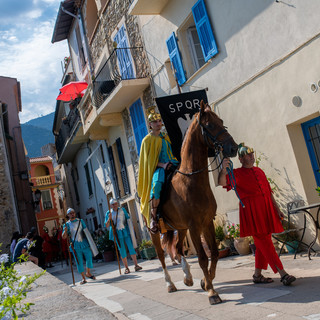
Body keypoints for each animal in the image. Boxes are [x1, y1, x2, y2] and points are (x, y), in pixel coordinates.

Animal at [149, 100, 238, 304]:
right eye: (210, 125)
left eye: (221, 122)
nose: (233, 148)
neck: (192, 180)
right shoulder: (194, 226)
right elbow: (203, 258)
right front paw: (212, 292)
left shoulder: (206, 223)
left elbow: (214, 253)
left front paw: (206, 282)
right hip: (155, 232)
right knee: (161, 257)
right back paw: (170, 284)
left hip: (180, 228)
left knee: (178, 249)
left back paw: (188, 277)